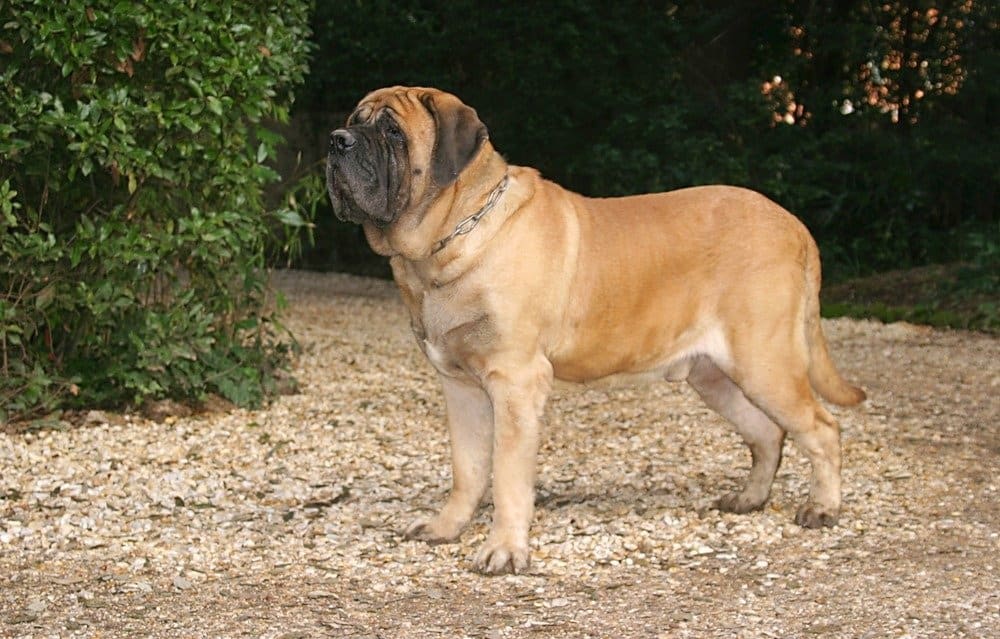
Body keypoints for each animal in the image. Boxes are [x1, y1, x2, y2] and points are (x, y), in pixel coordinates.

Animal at [326, 86, 868, 576]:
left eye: (392, 132)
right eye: (354, 119)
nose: (336, 141)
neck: (450, 239)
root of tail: (795, 226)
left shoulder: (515, 382)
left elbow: (506, 475)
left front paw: (504, 549)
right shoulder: (460, 386)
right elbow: (467, 468)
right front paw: (447, 527)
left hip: (764, 362)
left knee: (821, 428)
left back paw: (823, 508)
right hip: (715, 376)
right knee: (768, 433)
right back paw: (749, 499)